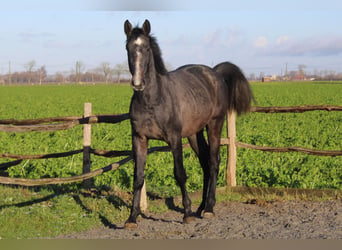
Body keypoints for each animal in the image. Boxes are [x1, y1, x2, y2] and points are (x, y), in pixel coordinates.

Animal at [124, 19, 252, 227]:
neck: (153, 101)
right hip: (194, 134)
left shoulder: (174, 138)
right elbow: (138, 178)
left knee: (214, 161)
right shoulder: (139, 139)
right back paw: (201, 207)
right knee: (205, 162)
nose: (137, 83)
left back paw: (208, 208)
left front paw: (187, 213)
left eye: (147, 48)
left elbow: (180, 173)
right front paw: (132, 218)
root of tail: (214, 73)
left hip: (214, 125)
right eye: (128, 48)